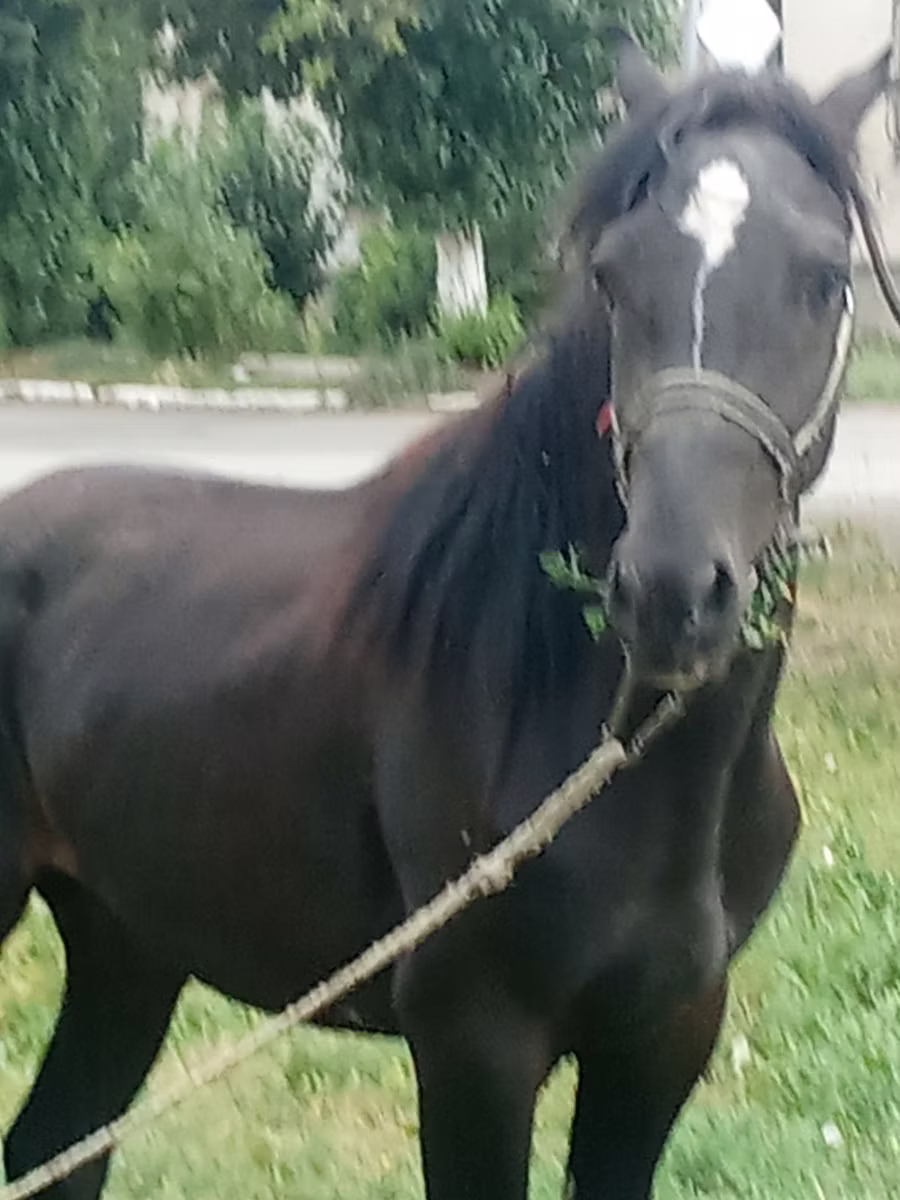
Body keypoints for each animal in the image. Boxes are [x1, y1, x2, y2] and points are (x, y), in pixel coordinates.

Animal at [0, 37, 898, 1200]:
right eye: (612, 277)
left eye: (826, 279)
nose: (670, 593)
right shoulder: (476, 1049)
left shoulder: (665, 1038)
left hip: (128, 948)